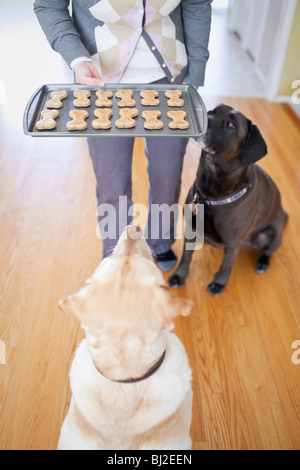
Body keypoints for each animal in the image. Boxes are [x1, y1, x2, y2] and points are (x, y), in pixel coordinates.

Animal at [168, 104, 288, 296]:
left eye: (230, 125)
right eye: (211, 112)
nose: (197, 115)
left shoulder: (233, 243)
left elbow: (226, 265)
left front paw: (219, 283)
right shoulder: (190, 228)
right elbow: (186, 256)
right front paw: (180, 275)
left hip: (268, 235)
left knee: (271, 250)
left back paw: (263, 262)